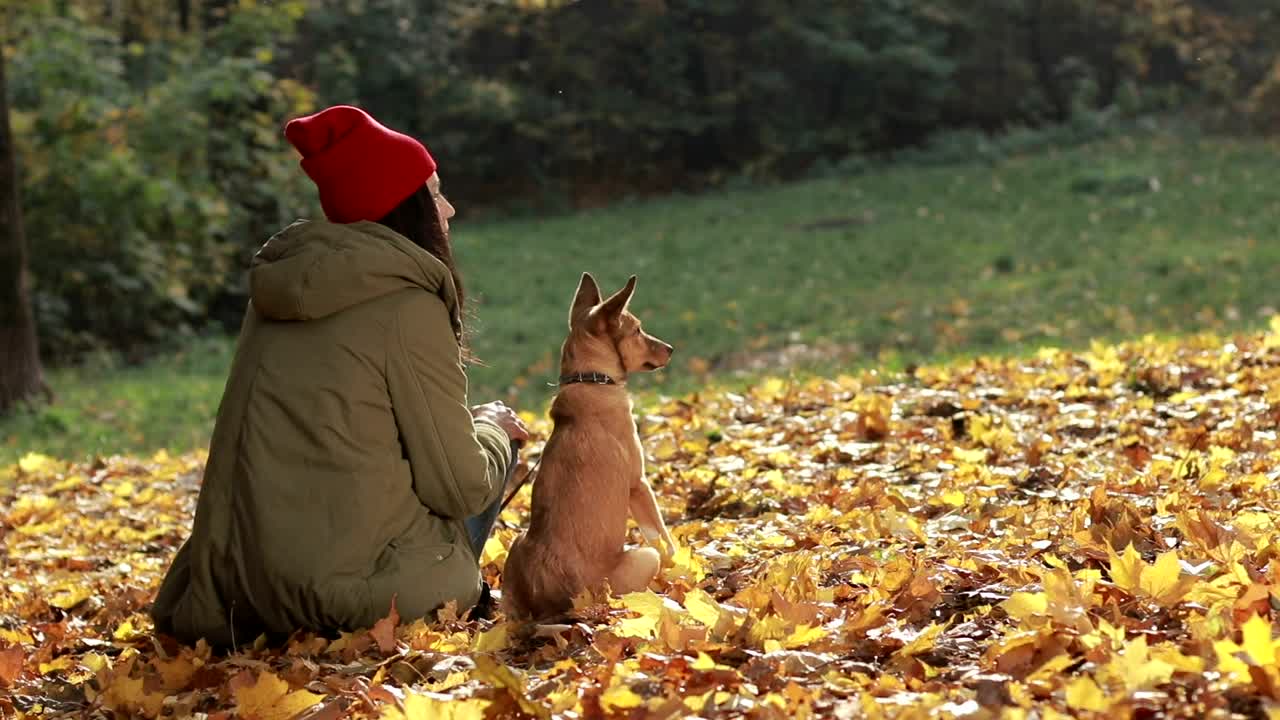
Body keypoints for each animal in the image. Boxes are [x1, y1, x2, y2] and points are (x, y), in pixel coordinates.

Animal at [501, 271, 680, 620]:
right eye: (637, 330)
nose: (671, 348)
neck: (591, 380)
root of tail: (563, 604)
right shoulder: (639, 484)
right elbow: (664, 539)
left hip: (517, 545)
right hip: (641, 557)